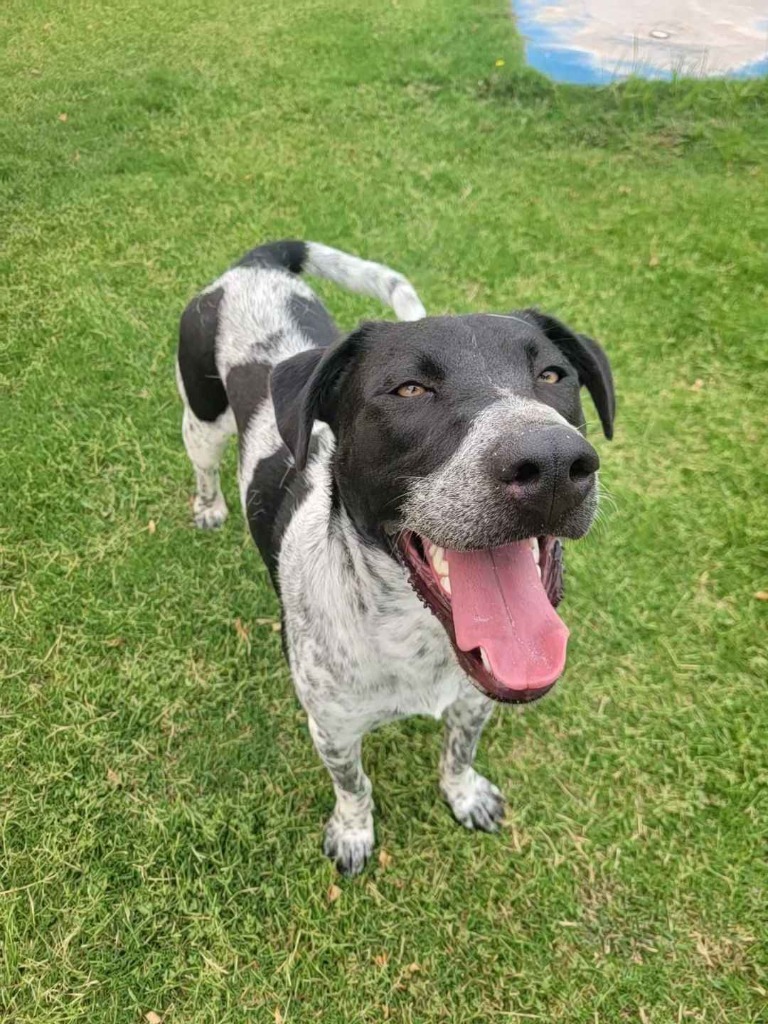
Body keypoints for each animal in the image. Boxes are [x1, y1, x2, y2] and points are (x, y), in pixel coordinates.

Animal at [177, 237, 618, 872]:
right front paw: (353, 832)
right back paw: (209, 506)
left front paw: (464, 795)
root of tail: (257, 262)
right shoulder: (332, 728)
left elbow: (459, 752)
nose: (556, 463)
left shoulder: (474, 700)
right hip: (202, 416)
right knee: (205, 461)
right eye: (409, 389)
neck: (415, 633)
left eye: (553, 374)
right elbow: (353, 785)